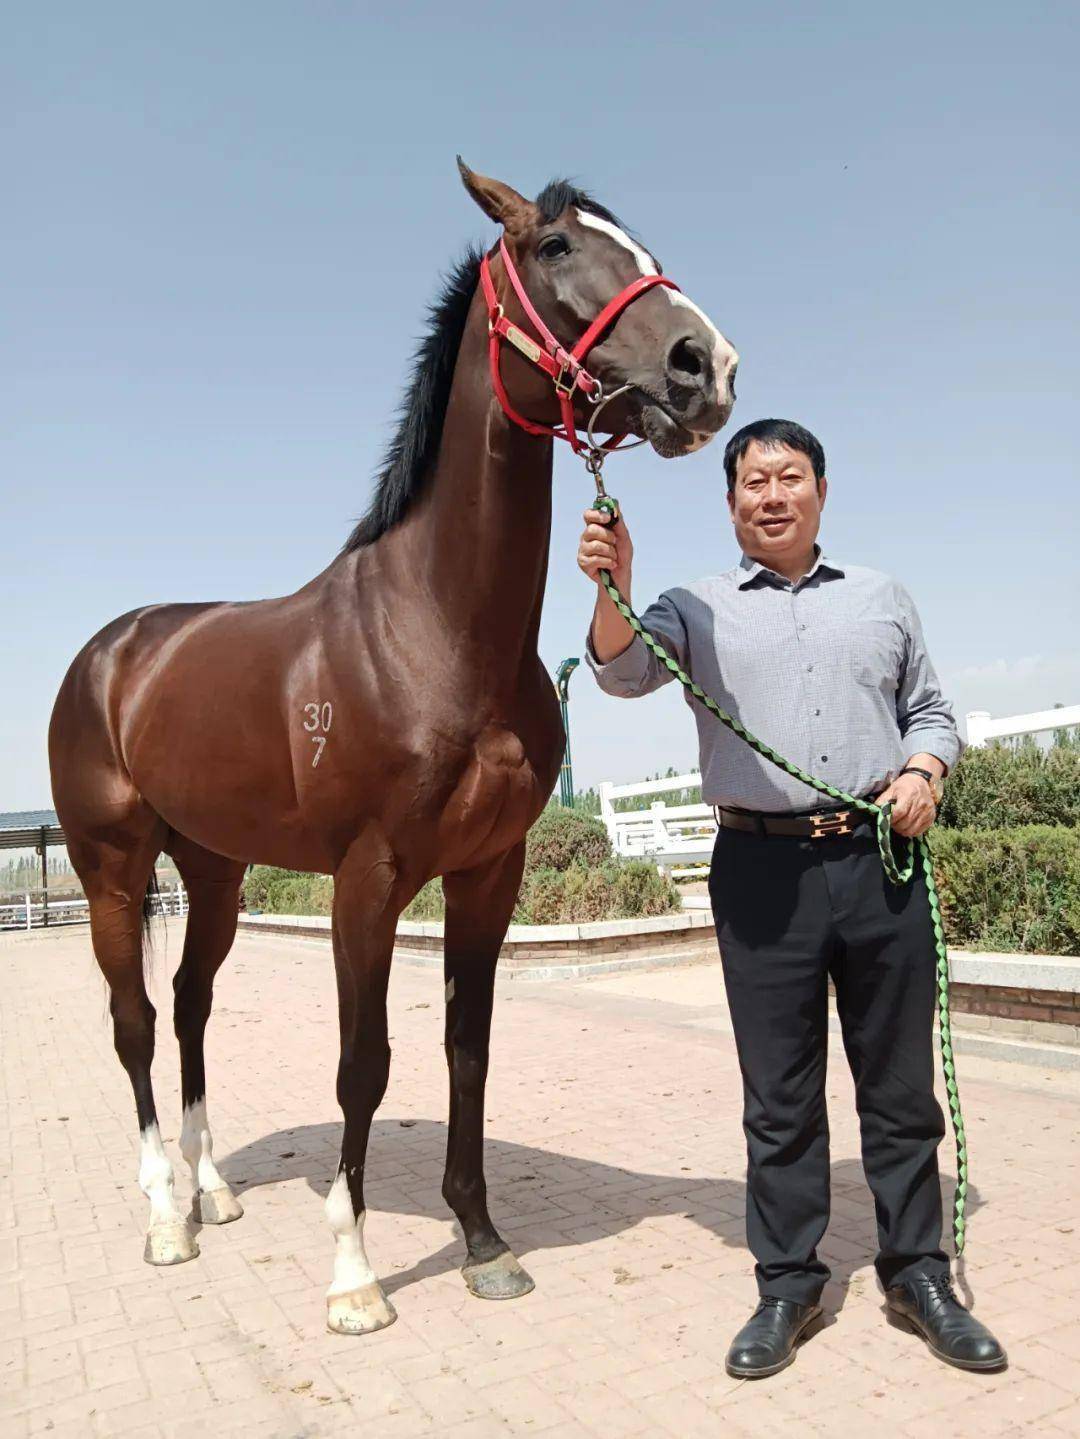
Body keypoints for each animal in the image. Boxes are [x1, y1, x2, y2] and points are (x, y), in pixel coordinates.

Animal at [52, 160, 742, 1335]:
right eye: (556, 247)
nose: (707, 366)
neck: (431, 627)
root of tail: (113, 651)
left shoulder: (488, 872)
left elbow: (468, 1047)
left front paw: (483, 1239)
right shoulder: (366, 880)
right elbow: (362, 1064)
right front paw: (354, 1272)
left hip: (215, 871)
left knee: (189, 1007)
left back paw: (214, 1191)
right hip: (112, 866)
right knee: (135, 1021)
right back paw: (164, 1217)